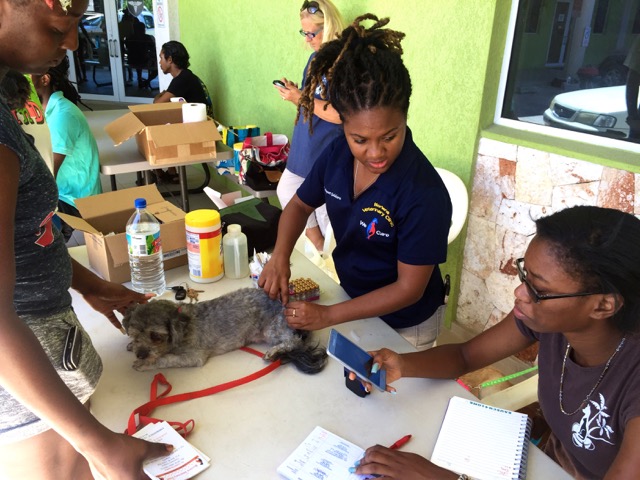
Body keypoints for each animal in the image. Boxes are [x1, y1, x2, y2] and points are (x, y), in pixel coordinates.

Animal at [122, 286, 328, 374]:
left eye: (156, 336)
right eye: (134, 334)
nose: (141, 354)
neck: (184, 324)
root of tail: (289, 303)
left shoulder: (193, 356)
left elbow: (166, 359)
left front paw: (145, 364)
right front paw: (132, 347)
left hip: (273, 329)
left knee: (293, 340)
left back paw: (274, 352)